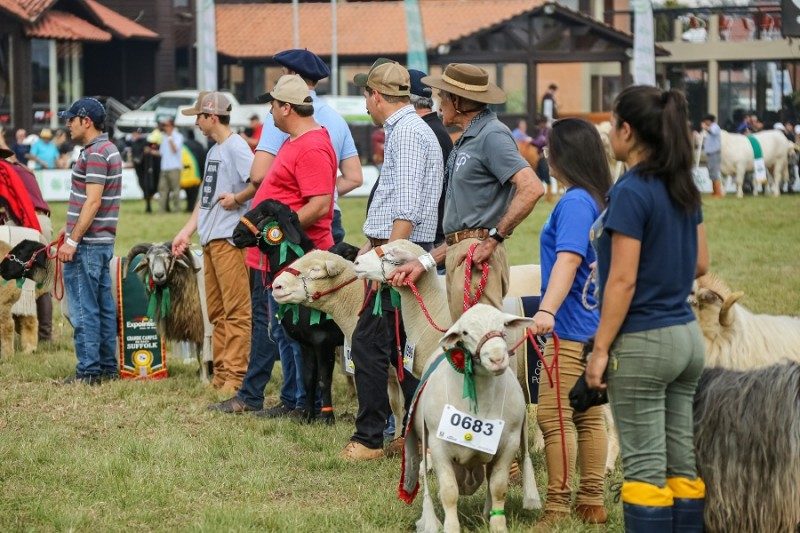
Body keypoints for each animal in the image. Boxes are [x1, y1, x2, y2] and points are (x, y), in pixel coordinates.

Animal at [125, 241, 212, 382]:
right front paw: (203, 376)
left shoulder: (203, 328)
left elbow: (203, 356)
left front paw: (205, 381)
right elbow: (200, 357)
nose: (159, 275)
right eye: (148, 259)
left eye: (169, 257)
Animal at [398, 304, 540, 532]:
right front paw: (451, 527)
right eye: (465, 332)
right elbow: (449, 492)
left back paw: (486, 513)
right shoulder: (438, 446)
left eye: (503, 326)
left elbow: (498, 487)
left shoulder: (508, 442)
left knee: (490, 480)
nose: (497, 359)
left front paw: (498, 525)